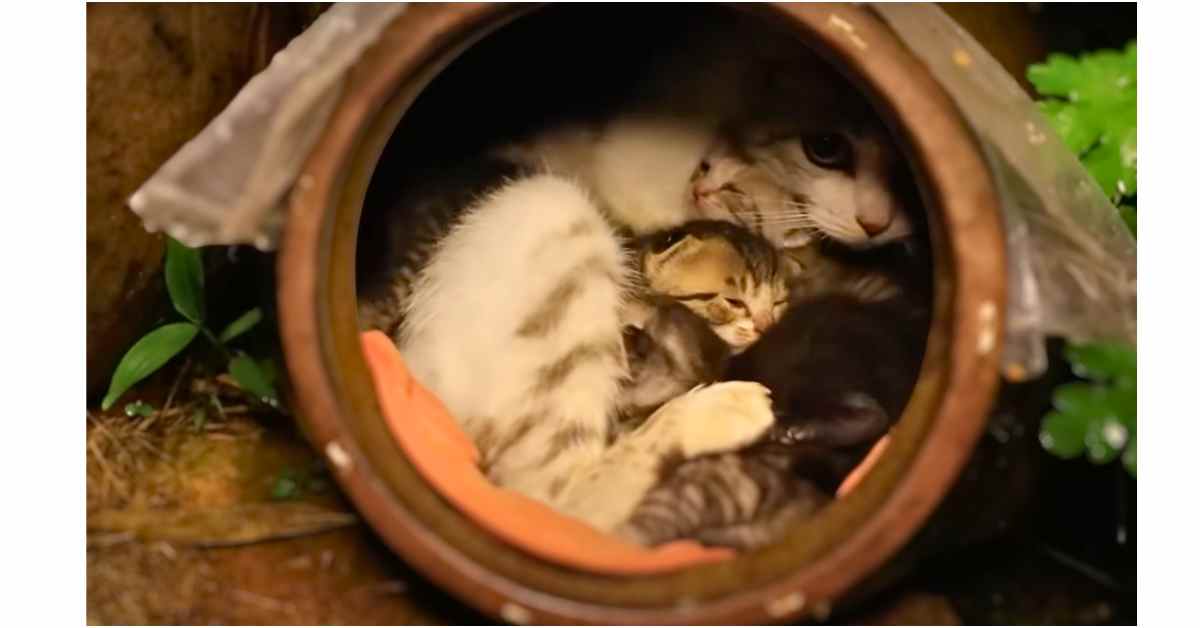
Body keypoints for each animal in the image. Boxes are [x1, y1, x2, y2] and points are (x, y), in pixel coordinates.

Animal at [400, 172, 777, 535]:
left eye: (778, 303)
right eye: (734, 301)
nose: (763, 325)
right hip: (559, 212)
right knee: (551, 504)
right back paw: (721, 409)